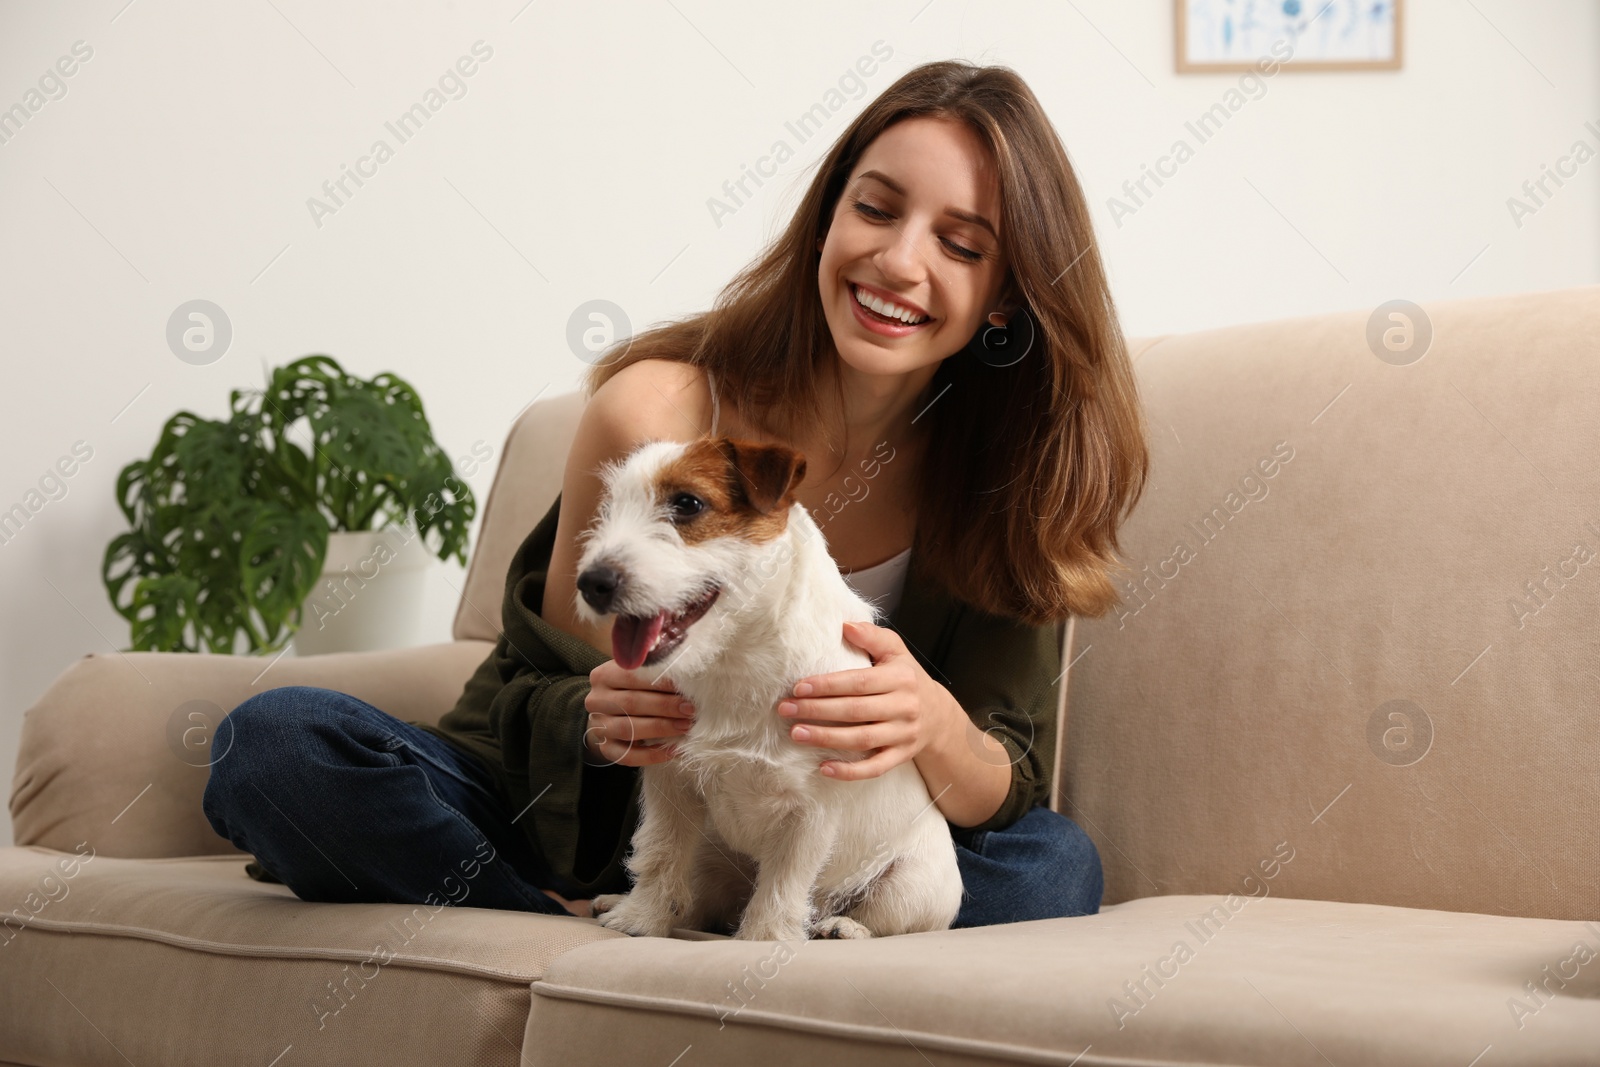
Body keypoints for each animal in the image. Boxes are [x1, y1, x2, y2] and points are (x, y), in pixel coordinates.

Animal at [576, 435, 960, 940]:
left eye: (687, 504)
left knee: (890, 922)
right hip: (711, 856)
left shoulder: (810, 813)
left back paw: (843, 927)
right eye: (609, 509)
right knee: (695, 894)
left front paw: (764, 940)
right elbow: (660, 851)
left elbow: (783, 886)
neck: (735, 661)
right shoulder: (670, 783)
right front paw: (641, 919)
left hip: (912, 885)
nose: (591, 583)